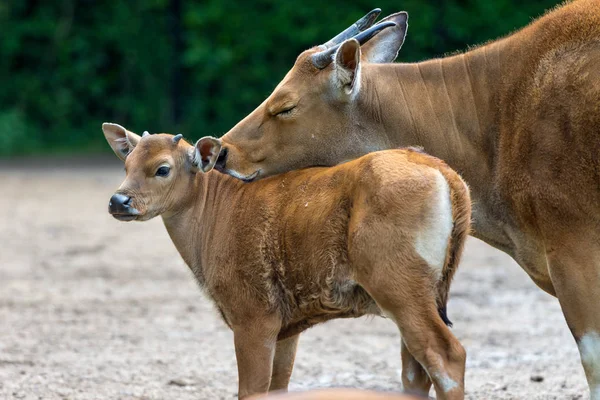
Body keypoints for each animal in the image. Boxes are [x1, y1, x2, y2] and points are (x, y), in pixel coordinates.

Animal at [101, 123, 472, 398]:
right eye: (126, 164)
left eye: (162, 168)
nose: (118, 201)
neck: (214, 215)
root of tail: (448, 176)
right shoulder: (286, 324)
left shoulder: (252, 313)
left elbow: (251, 391)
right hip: (429, 289)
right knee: (416, 370)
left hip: (397, 282)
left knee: (446, 356)